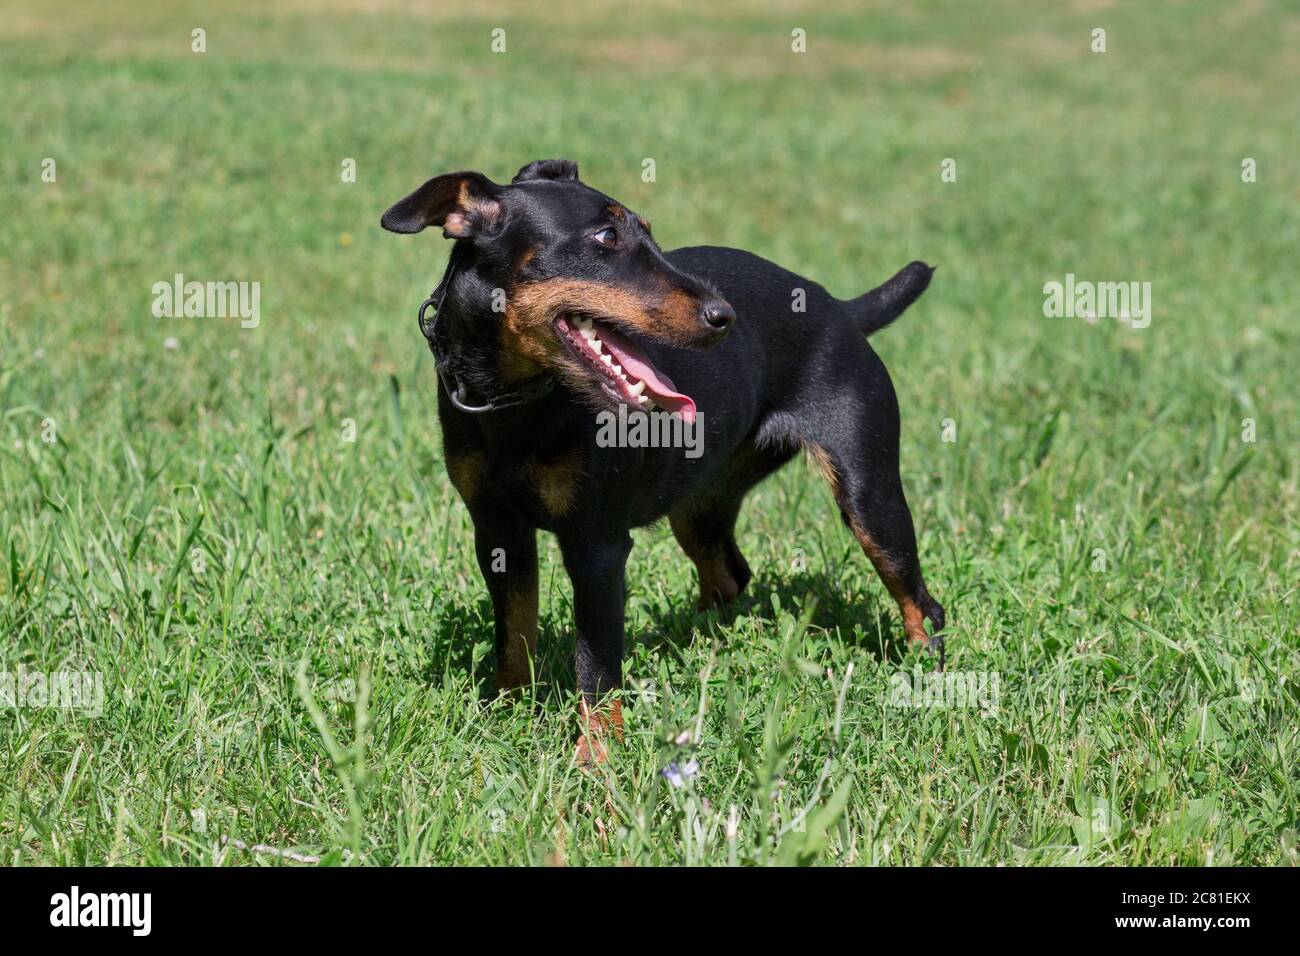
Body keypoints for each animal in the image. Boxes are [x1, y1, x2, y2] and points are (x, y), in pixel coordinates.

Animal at [379, 160, 941, 764]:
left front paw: (596, 764)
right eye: (606, 237)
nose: (723, 316)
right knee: (730, 573)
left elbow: (597, 667)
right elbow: (515, 632)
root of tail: (841, 308)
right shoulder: (495, 529)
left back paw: (924, 678)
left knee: (921, 603)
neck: (514, 399)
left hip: (869, 492)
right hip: (699, 505)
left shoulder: (597, 544)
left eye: (652, 235)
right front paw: (504, 714)